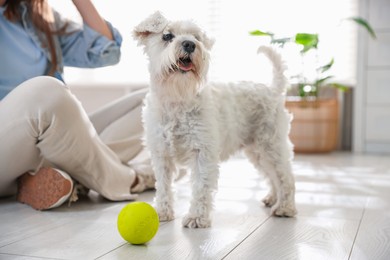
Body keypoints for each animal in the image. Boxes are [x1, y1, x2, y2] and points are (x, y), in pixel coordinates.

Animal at [133, 11, 298, 228]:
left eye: (196, 37)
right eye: (167, 36)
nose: (189, 44)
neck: (178, 99)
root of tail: (273, 90)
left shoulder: (202, 152)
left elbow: (201, 187)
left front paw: (196, 217)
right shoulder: (161, 155)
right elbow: (163, 186)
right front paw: (161, 212)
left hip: (272, 146)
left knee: (285, 177)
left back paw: (285, 207)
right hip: (257, 152)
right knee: (272, 176)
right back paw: (273, 198)